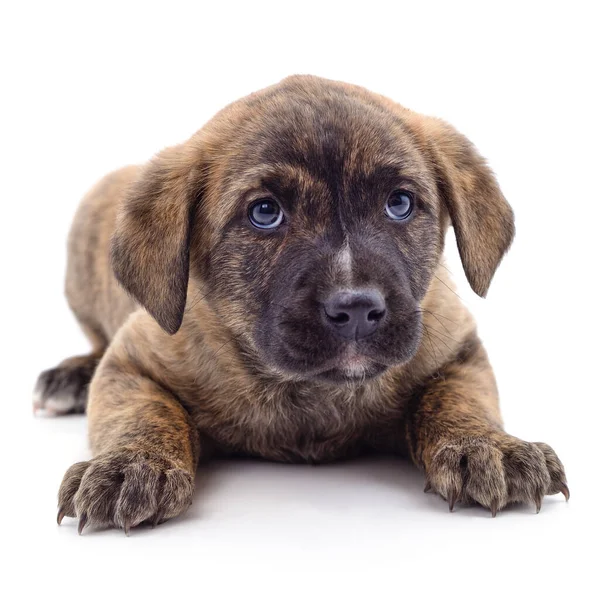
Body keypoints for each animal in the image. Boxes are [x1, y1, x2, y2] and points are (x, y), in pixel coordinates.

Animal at [35, 74, 568, 532]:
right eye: (265, 213)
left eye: (399, 203)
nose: (356, 310)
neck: (310, 395)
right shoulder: (130, 362)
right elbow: (143, 411)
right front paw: (132, 464)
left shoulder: (459, 349)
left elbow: (456, 397)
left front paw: (486, 446)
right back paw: (71, 377)